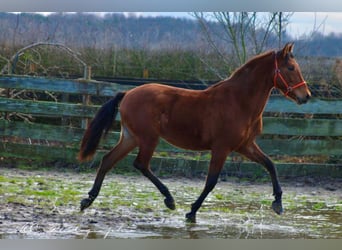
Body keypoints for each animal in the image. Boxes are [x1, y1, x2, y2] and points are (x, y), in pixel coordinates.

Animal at [77, 43, 310, 223]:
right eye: (290, 67)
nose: (306, 96)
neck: (238, 102)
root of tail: (127, 94)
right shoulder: (221, 148)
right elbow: (211, 181)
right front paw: (191, 212)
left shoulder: (245, 145)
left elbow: (270, 164)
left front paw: (278, 203)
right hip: (148, 138)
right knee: (140, 164)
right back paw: (169, 200)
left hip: (131, 137)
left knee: (108, 160)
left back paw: (87, 200)